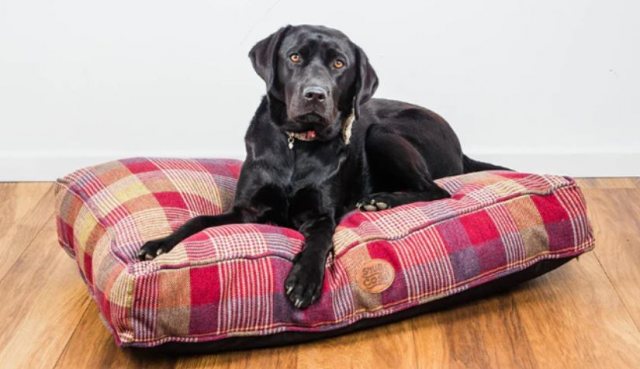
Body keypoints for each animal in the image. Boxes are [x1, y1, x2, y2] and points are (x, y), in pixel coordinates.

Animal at [138, 24, 508, 308]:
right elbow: (198, 220)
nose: (315, 94)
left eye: (339, 64)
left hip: (382, 133)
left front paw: (304, 280)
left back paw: (381, 200)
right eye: (294, 57)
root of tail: (461, 149)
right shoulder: (248, 209)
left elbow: (318, 241)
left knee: (436, 190)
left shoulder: (320, 215)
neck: (297, 145)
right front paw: (159, 244)